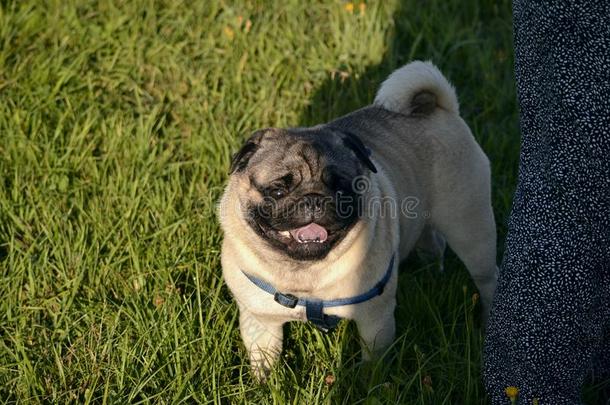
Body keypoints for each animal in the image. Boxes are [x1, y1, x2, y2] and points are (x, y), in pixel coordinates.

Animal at [216, 60, 496, 378]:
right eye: (277, 190)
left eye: (341, 187)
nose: (313, 198)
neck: (305, 277)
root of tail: (438, 107)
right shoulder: (261, 322)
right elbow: (265, 361)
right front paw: (267, 383)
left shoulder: (374, 319)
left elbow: (373, 363)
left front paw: (368, 383)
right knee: (432, 244)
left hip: (470, 229)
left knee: (487, 279)